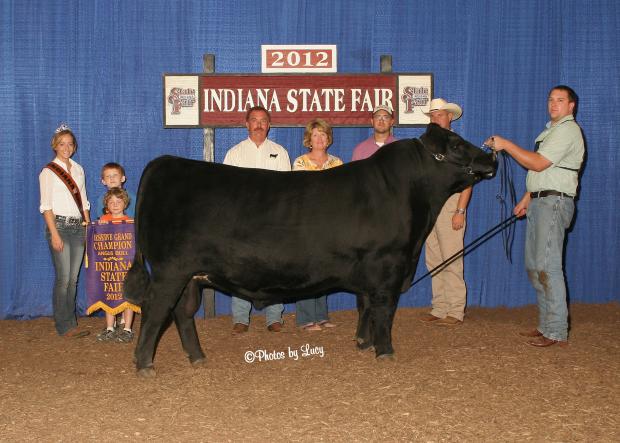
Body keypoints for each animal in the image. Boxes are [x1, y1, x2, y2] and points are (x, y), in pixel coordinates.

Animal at [123, 123, 496, 376]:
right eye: (457, 144)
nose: (491, 156)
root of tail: (165, 162)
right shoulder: (389, 266)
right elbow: (384, 311)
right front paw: (385, 351)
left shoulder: (370, 269)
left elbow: (365, 307)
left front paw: (363, 343)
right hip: (171, 270)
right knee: (156, 310)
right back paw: (144, 364)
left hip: (191, 276)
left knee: (182, 313)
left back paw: (197, 357)